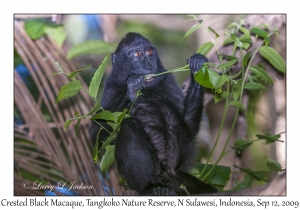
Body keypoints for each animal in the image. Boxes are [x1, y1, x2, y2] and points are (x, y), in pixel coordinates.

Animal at [89, 32, 218, 195]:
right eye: (137, 54)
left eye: (150, 52)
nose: (148, 65)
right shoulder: (111, 88)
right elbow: (97, 133)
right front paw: (132, 88)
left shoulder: (168, 81)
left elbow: (188, 126)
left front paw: (197, 67)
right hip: (153, 173)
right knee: (129, 126)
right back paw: (150, 188)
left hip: (178, 177)